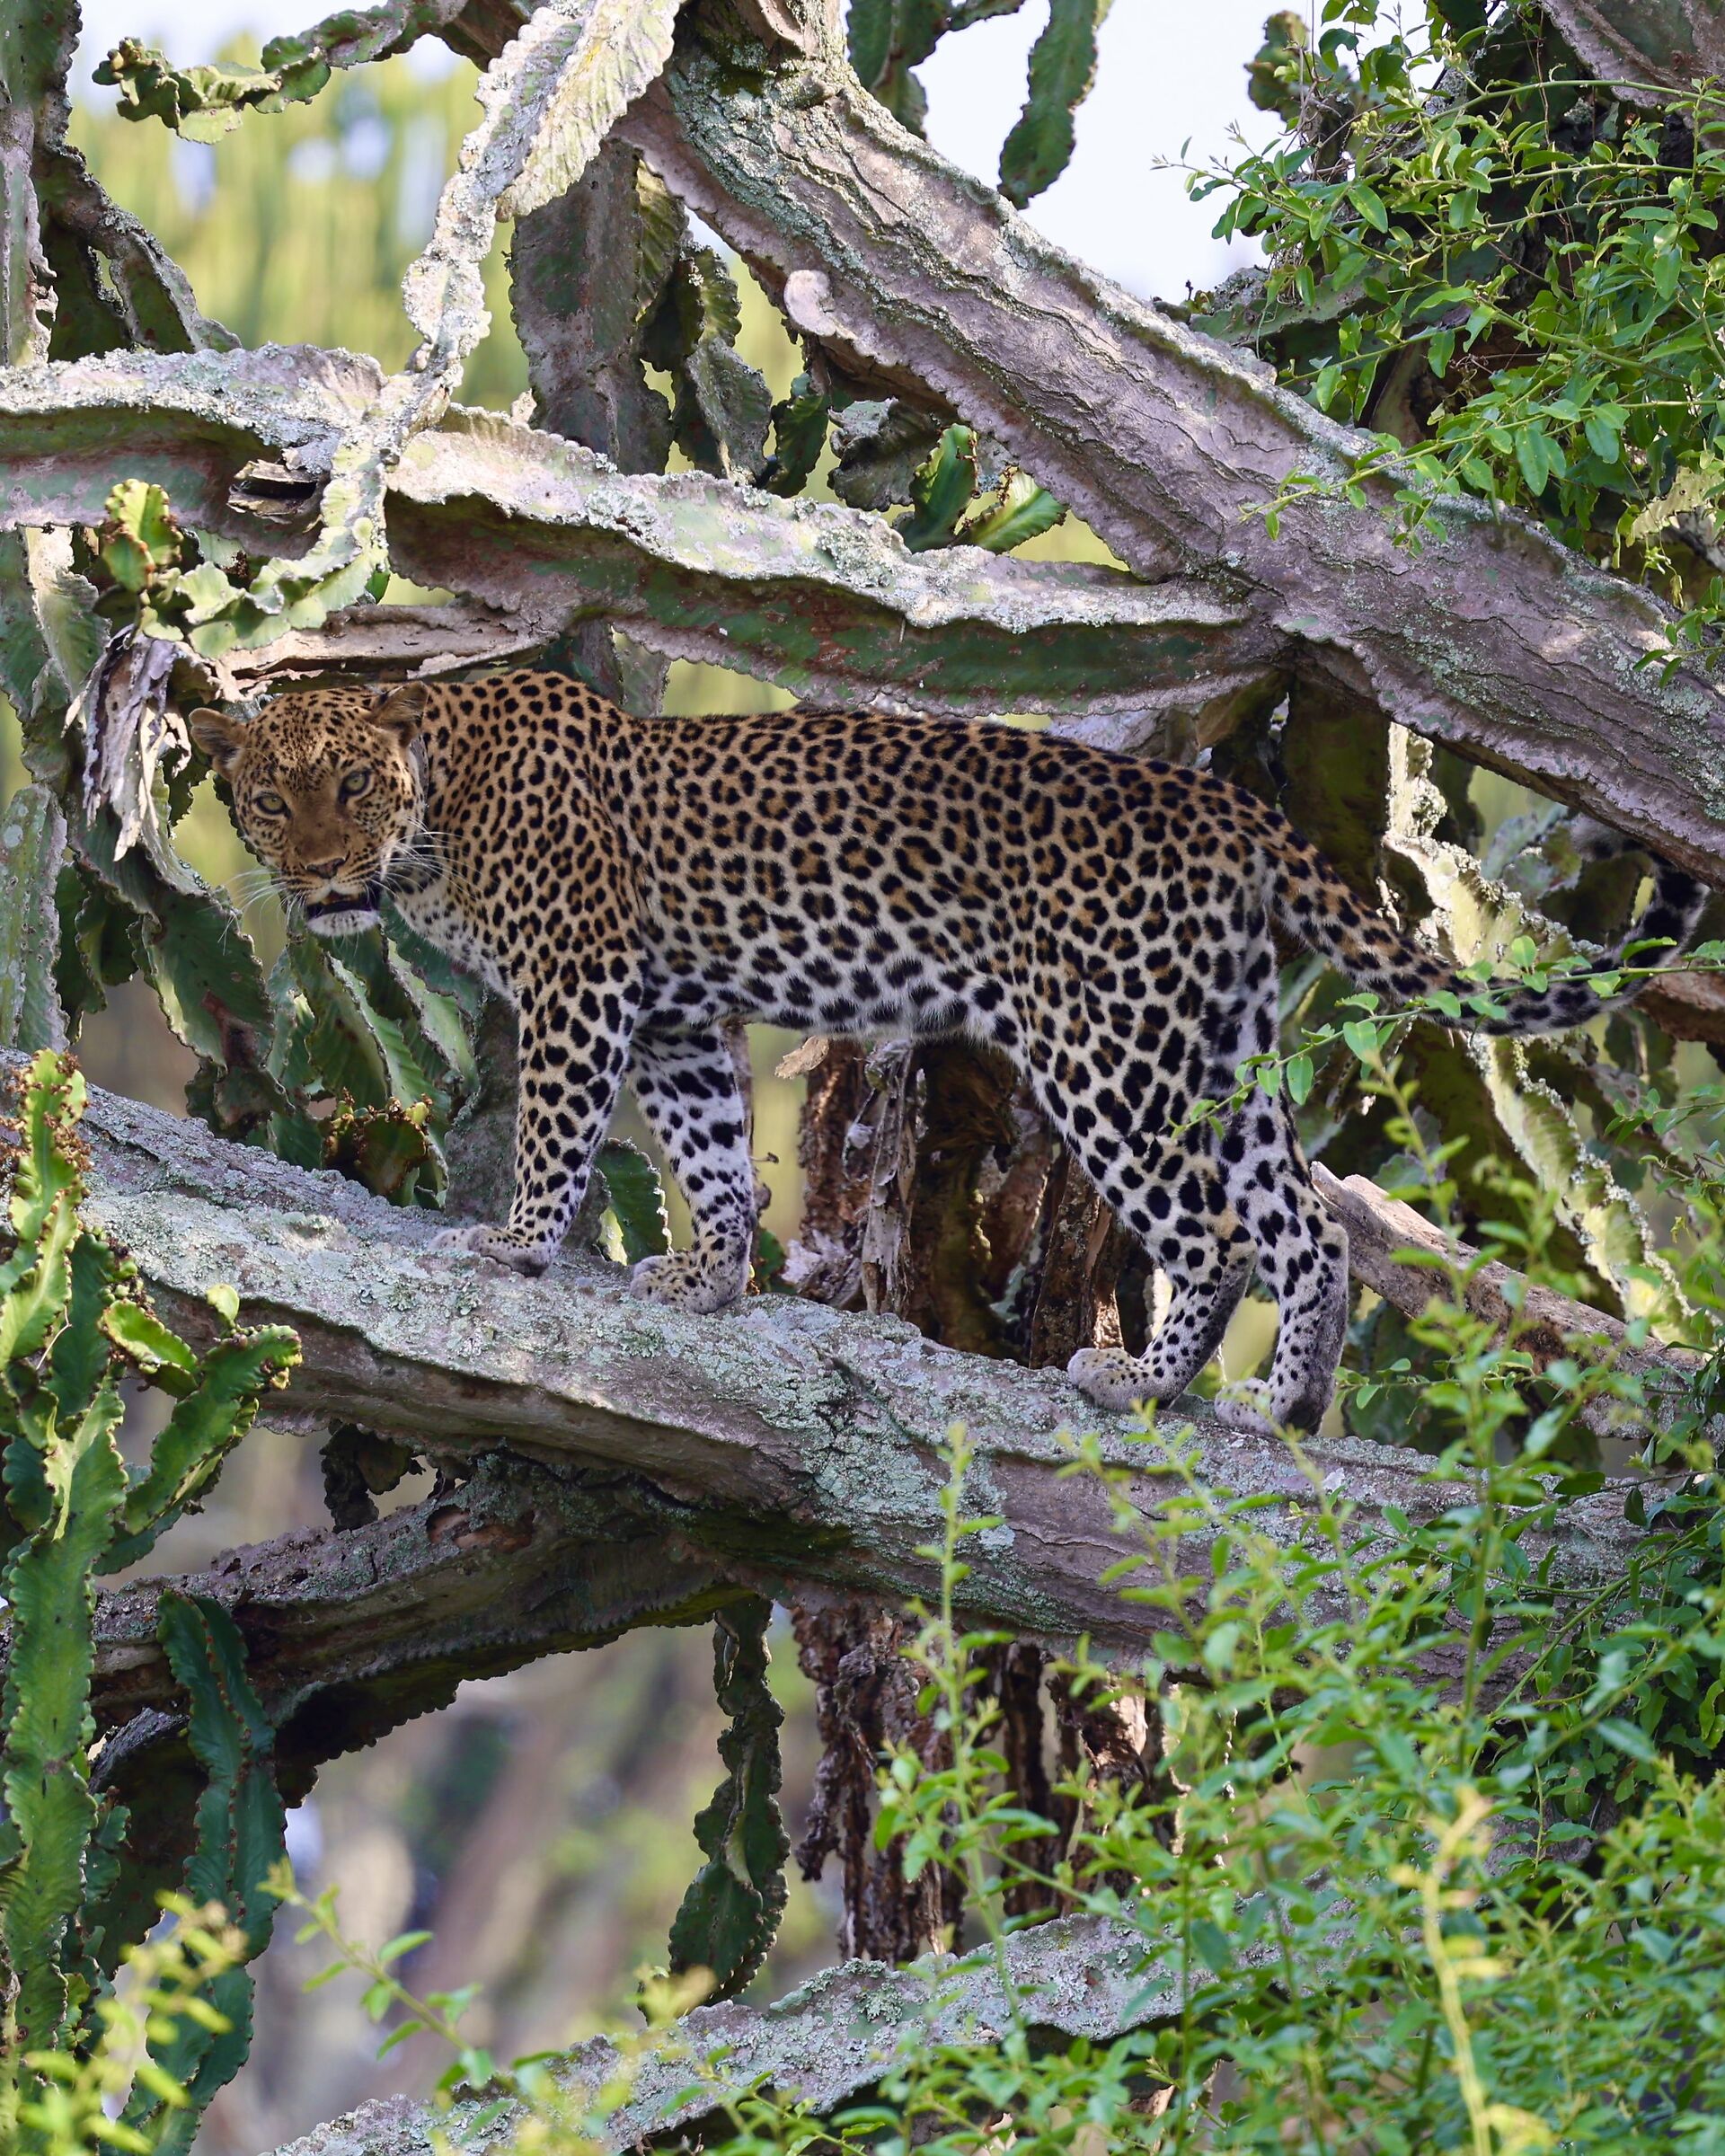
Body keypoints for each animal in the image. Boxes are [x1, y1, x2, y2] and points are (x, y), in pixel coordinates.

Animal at [190, 671, 1703, 1436]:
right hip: (1212, 1045)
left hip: (1106, 1047)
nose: (315, 874)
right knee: (1309, 1225)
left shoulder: (579, 983)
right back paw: (1280, 1402)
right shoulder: (672, 1013)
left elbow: (559, 1132)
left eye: (352, 787)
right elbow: (712, 1151)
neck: (438, 806)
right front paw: (708, 1276)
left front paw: (511, 1250)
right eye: (267, 797)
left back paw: (1146, 1382)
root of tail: (1220, 808)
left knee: (1210, 1232)